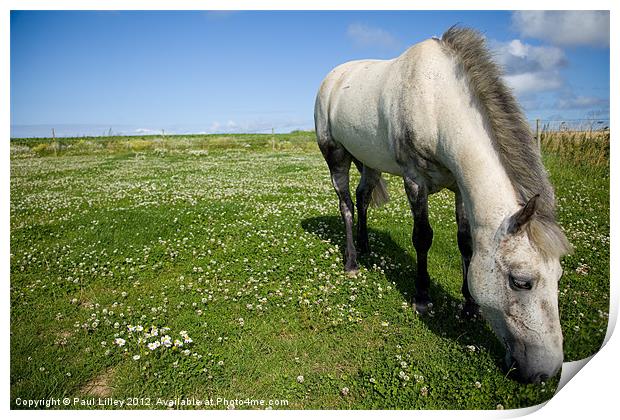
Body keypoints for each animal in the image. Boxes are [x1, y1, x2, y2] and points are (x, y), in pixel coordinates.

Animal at [314, 24, 572, 382]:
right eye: (521, 282)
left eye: (559, 276)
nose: (545, 372)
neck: (436, 101)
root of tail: (333, 77)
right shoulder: (415, 181)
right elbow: (422, 237)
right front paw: (422, 298)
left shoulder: (459, 187)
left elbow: (466, 242)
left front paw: (469, 306)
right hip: (335, 155)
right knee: (347, 205)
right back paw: (352, 261)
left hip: (368, 160)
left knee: (364, 197)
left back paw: (365, 247)